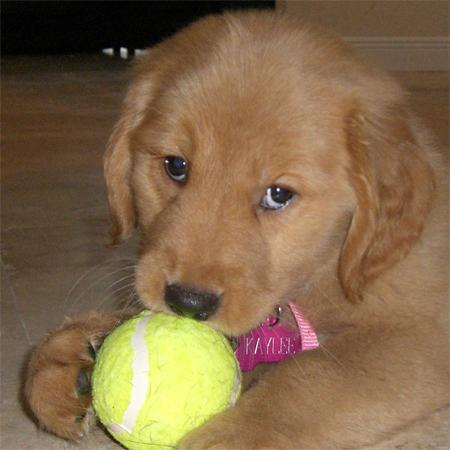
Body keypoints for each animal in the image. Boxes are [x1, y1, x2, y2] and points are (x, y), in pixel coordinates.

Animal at [26, 11, 448, 450]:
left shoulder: (420, 337)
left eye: (278, 195)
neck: (327, 263)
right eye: (175, 165)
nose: (188, 303)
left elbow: (310, 376)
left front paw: (228, 435)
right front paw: (68, 354)